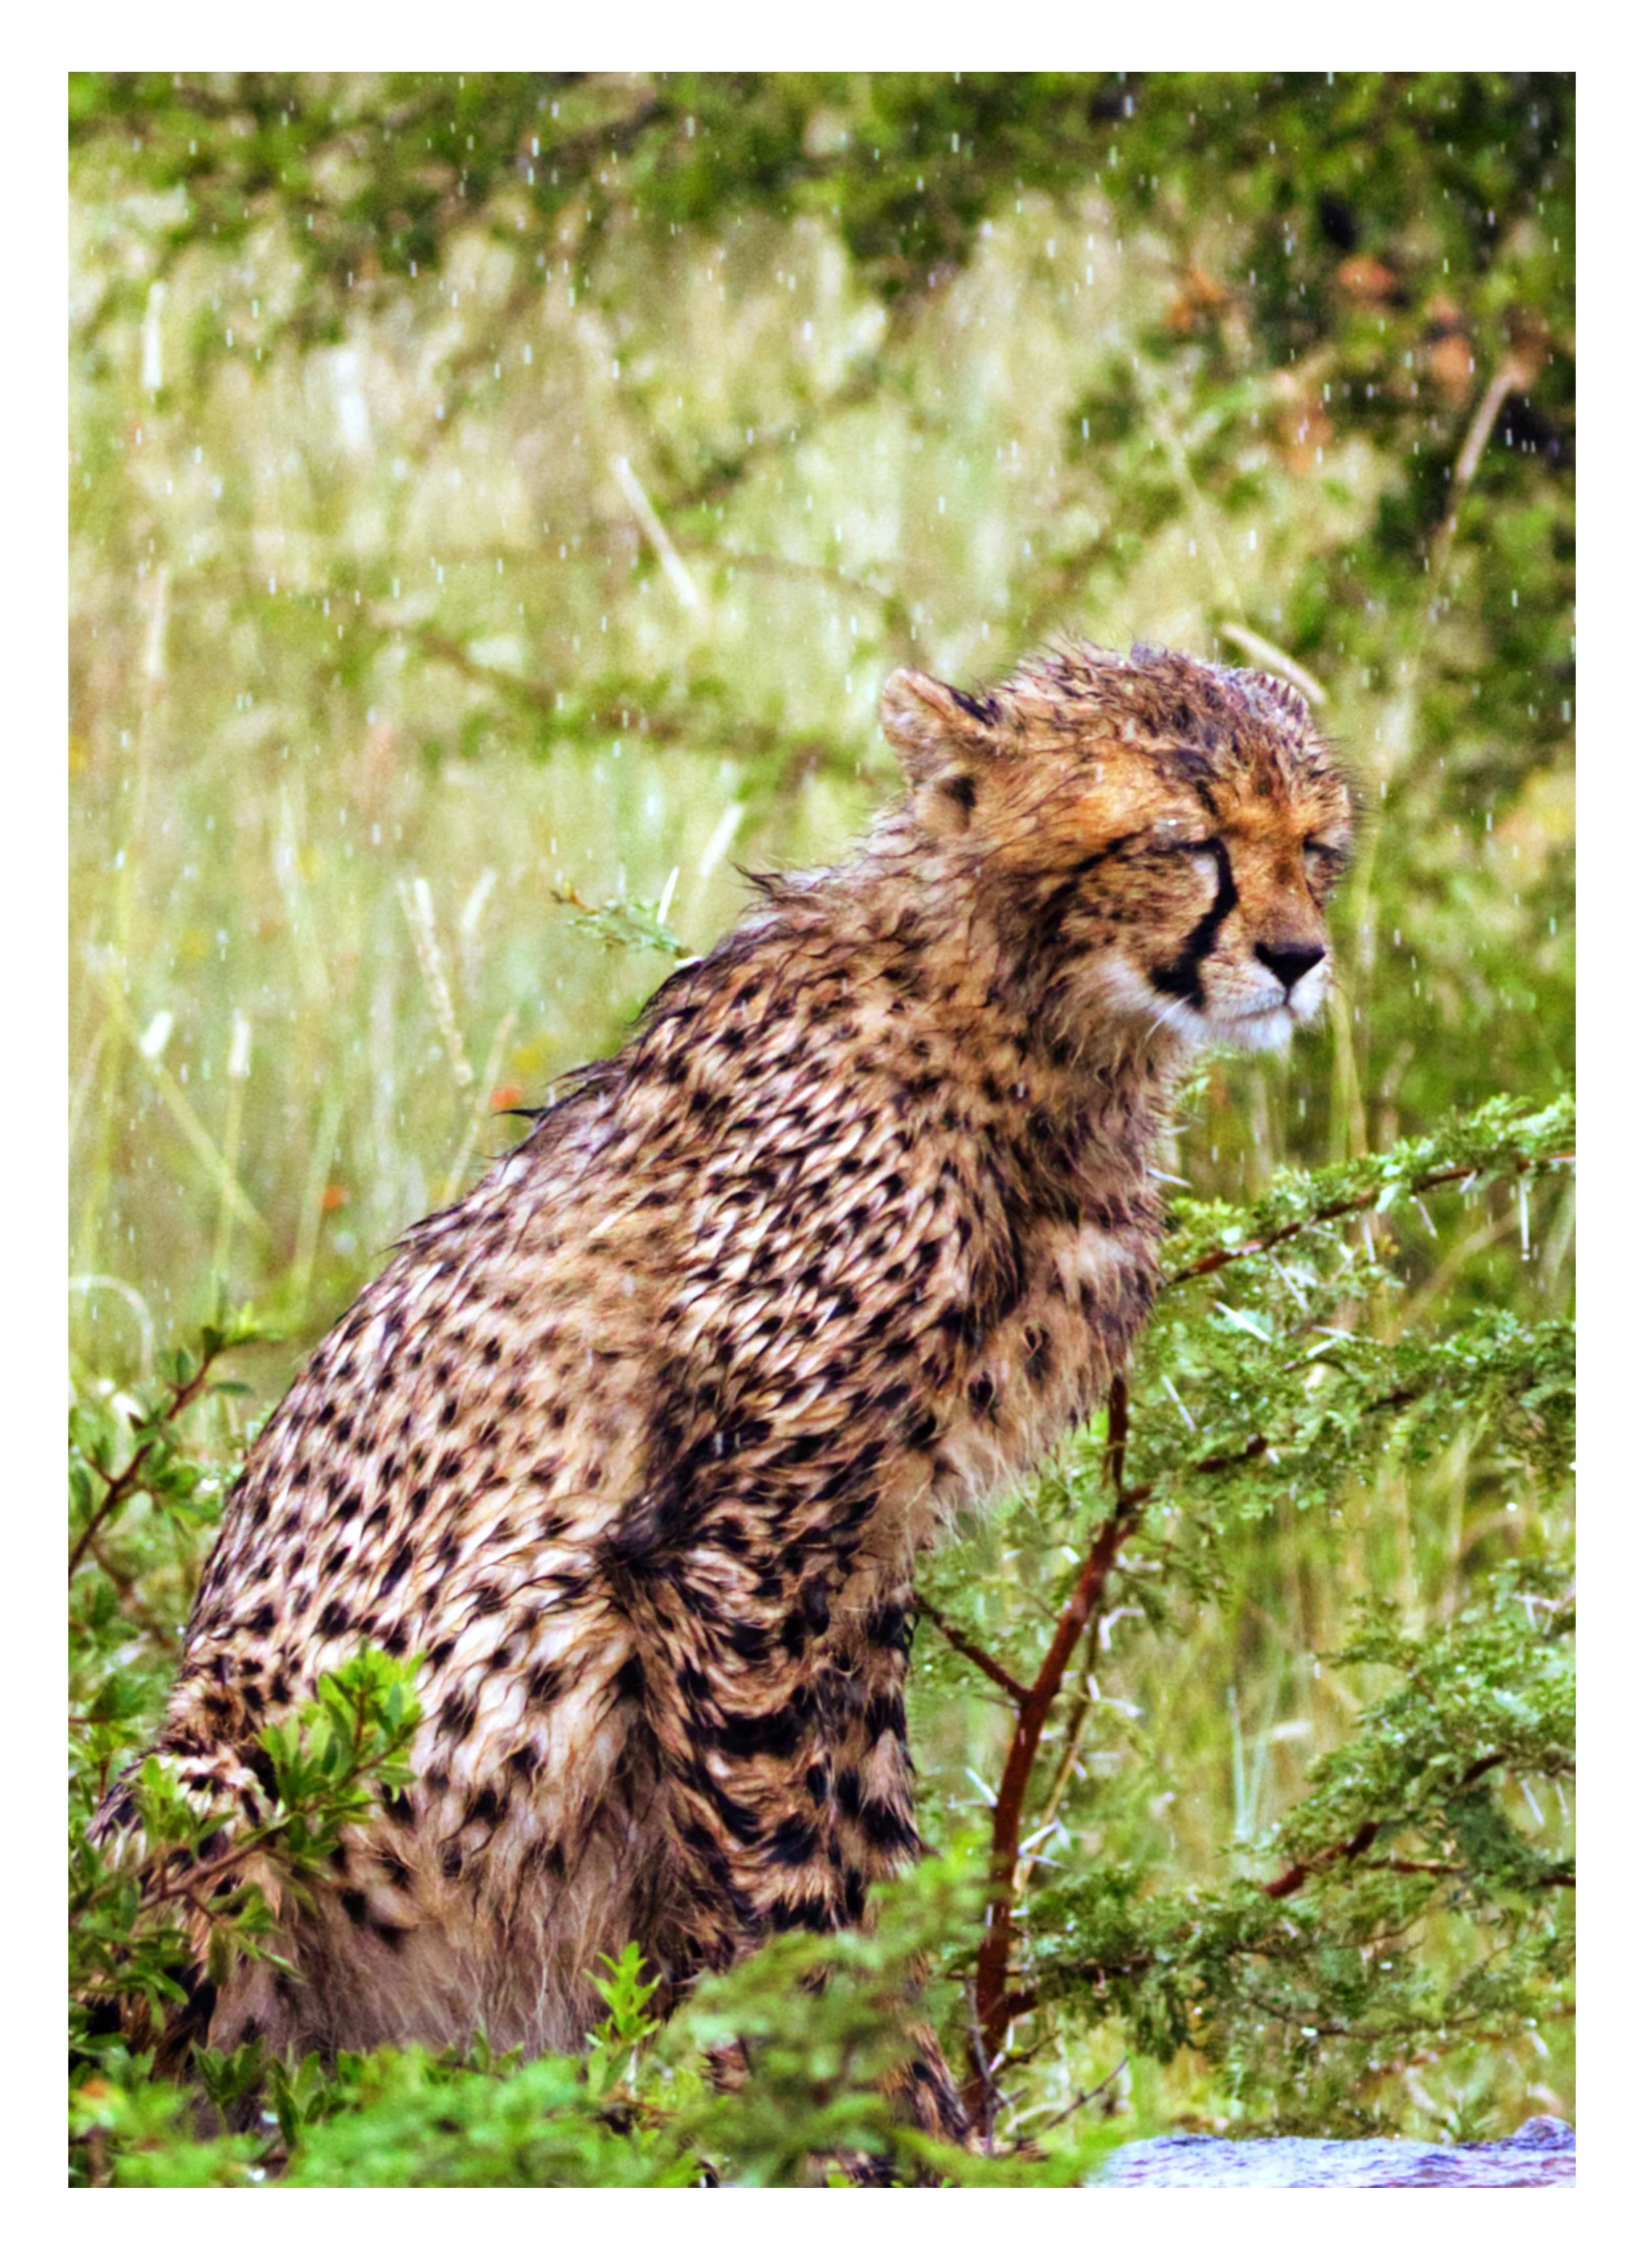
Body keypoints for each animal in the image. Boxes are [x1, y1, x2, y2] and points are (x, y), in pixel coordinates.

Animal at [93, 639, 1354, 2141]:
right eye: (1184, 839)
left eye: (1317, 846)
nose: (1298, 957)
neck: (1033, 1022)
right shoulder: (735, 1537)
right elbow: (779, 1848)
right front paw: (833, 2109)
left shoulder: (862, 1545)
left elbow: (861, 1818)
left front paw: (918, 2111)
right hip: (223, 1769)